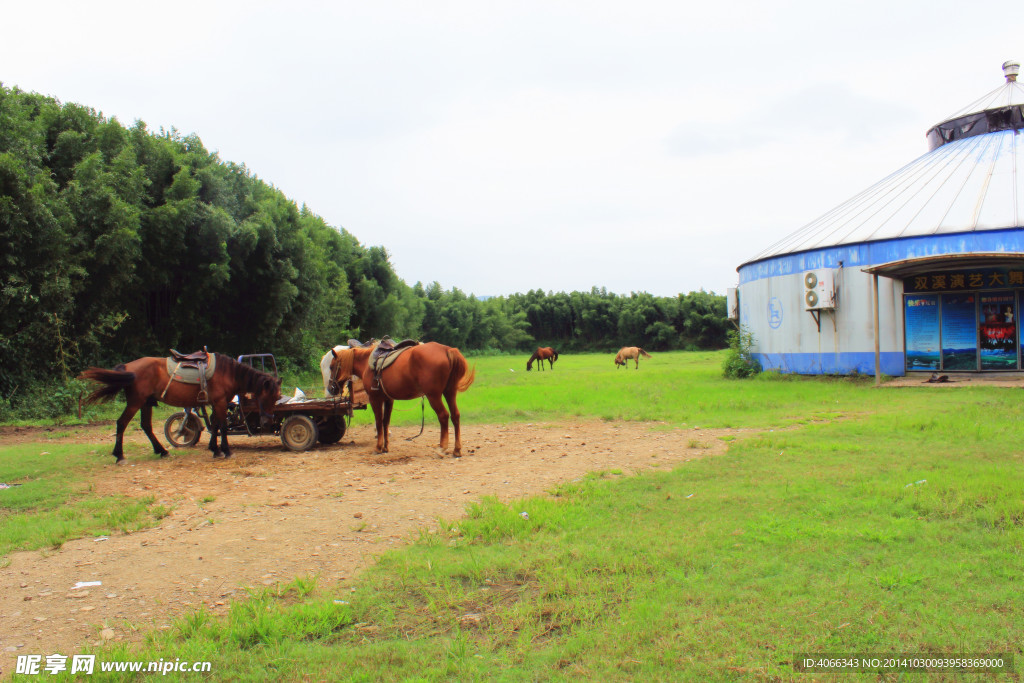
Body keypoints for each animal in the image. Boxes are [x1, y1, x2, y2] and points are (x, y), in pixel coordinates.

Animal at [77, 356, 282, 462]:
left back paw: (161, 451)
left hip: (146, 403)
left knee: (146, 426)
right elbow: (222, 426)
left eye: (277, 397)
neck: (228, 373)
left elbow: (215, 425)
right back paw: (119, 455)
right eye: (269, 396)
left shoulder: (217, 403)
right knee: (122, 423)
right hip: (135, 402)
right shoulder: (220, 402)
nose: (268, 421)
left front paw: (214, 449)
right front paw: (226, 450)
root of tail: (128, 366)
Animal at [333, 342, 477, 458]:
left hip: (433, 396)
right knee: (455, 416)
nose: (333, 388)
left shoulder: (375, 400)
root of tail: (446, 349)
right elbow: (385, 422)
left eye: (332, 366)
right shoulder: (388, 400)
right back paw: (457, 450)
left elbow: (379, 423)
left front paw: (378, 448)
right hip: (450, 392)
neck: (367, 364)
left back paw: (442, 448)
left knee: (443, 416)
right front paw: (385, 447)